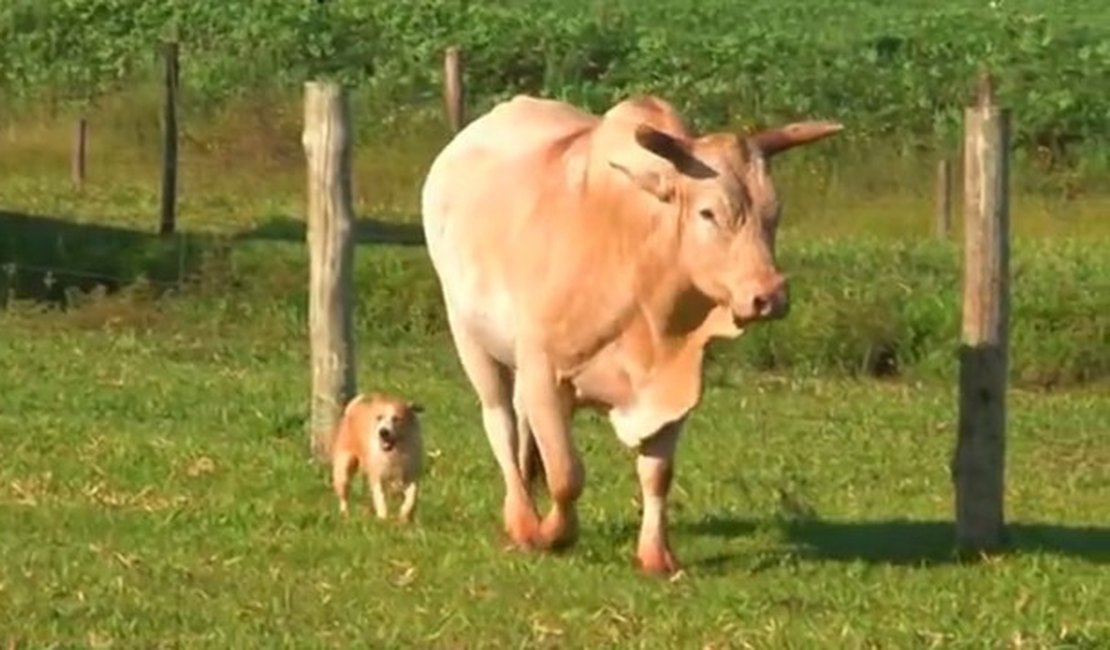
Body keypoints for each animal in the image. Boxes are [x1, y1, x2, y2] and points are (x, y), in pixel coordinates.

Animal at [328, 390, 424, 521]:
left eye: (396, 419)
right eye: (379, 417)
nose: (383, 432)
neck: (394, 452)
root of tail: (352, 411)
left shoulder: (410, 475)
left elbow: (412, 496)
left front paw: (404, 514)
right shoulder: (377, 475)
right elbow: (380, 497)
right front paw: (382, 517)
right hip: (343, 469)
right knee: (344, 497)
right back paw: (345, 515)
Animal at [417, 92, 839, 572]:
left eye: (774, 213)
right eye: (709, 213)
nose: (769, 295)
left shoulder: (675, 385)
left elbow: (657, 474)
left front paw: (656, 554)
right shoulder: (543, 373)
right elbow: (567, 475)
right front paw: (552, 534)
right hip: (471, 338)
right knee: (501, 424)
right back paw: (522, 519)